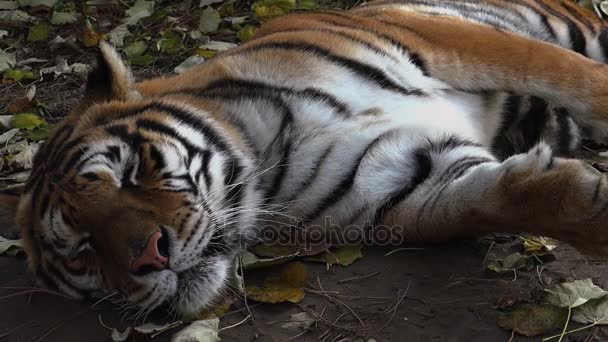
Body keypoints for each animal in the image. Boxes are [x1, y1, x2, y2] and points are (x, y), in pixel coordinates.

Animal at [3, 0, 608, 320]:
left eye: (130, 172)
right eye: (83, 248)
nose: (150, 258)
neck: (267, 147)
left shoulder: (445, 41)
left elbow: (574, 77)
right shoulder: (402, 179)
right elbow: (486, 202)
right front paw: (590, 207)